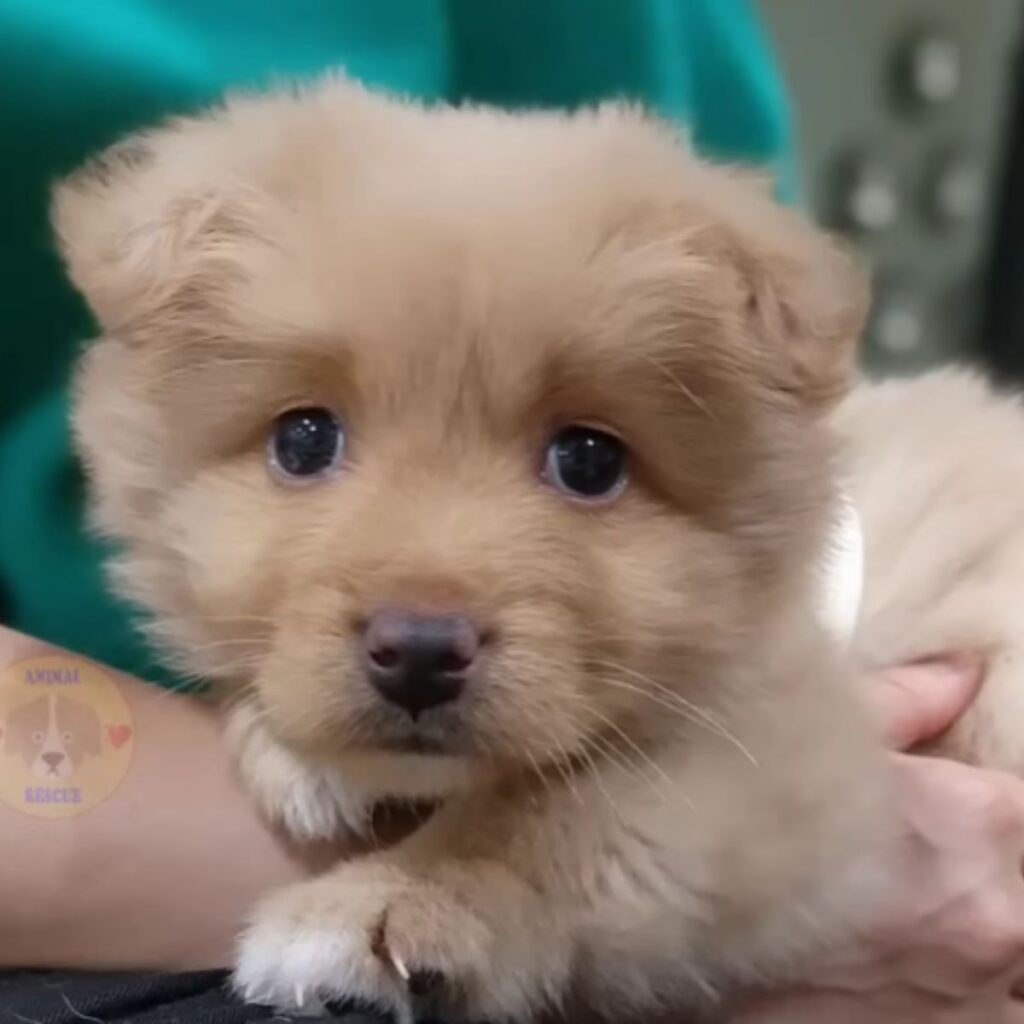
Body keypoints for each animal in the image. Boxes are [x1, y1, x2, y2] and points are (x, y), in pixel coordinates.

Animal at [51, 75, 1019, 1019]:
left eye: (589, 460)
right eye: (304, 440)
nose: (420, 651)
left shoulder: (776, 748)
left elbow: (557, 816)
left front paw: (385, 903)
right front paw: (293, 750)